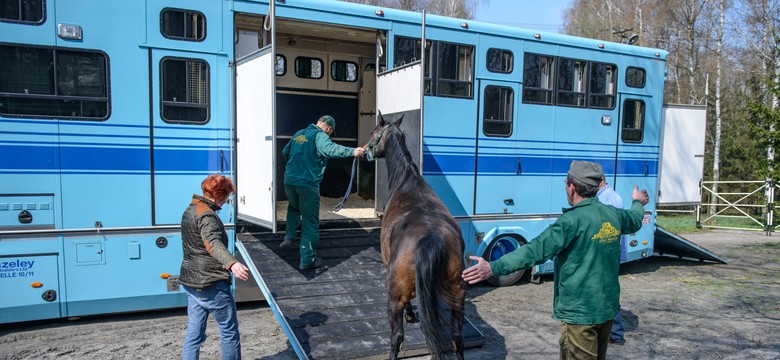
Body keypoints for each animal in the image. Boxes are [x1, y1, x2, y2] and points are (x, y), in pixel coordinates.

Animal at [364, 114, 466, 358]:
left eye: (373, 133)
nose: (365, 150)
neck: (407, 180)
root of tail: (431, 239)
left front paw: (411, 314)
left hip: (394, 297)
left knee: (397, 337)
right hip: (457, 294)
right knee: (457, 336)